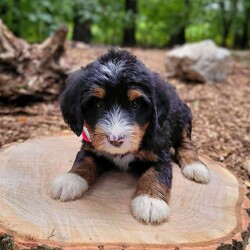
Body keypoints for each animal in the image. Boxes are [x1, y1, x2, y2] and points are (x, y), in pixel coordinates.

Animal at [51, 48, 211, 223]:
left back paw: (195, 167)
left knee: (186, 142)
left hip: (183, 116)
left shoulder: (159, 155)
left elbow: (155, 174)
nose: (115, 140)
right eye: (98, 104)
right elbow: (83, 161)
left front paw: (150, 201)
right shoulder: (91, 147)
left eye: (135, 104)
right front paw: (69, 180)